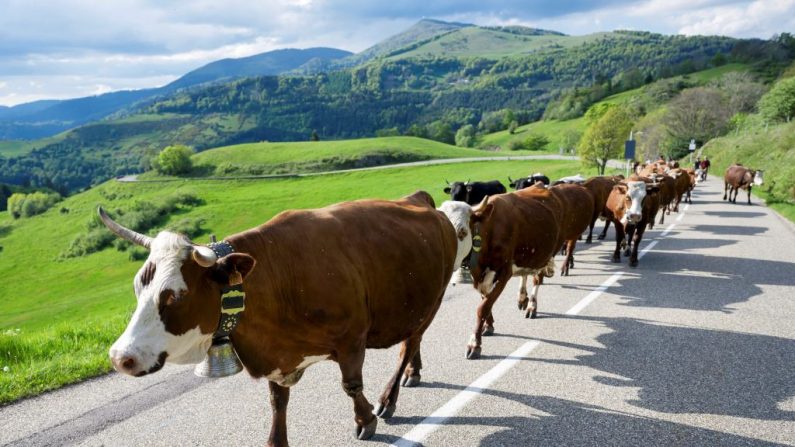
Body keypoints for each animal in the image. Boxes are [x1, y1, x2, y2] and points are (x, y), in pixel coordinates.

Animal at [98, 190, 458, 447]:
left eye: (176, 295)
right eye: (138, 286)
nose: (119, 357)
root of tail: (418, 199)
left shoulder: (352, 339)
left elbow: (351, 386)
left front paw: (365, 419)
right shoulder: (276, 354)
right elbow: (276, 401)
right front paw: (276, 440)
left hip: (435, 295)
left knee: (409, 344)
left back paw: (389, 397)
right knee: (413, 342)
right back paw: (413, 373)